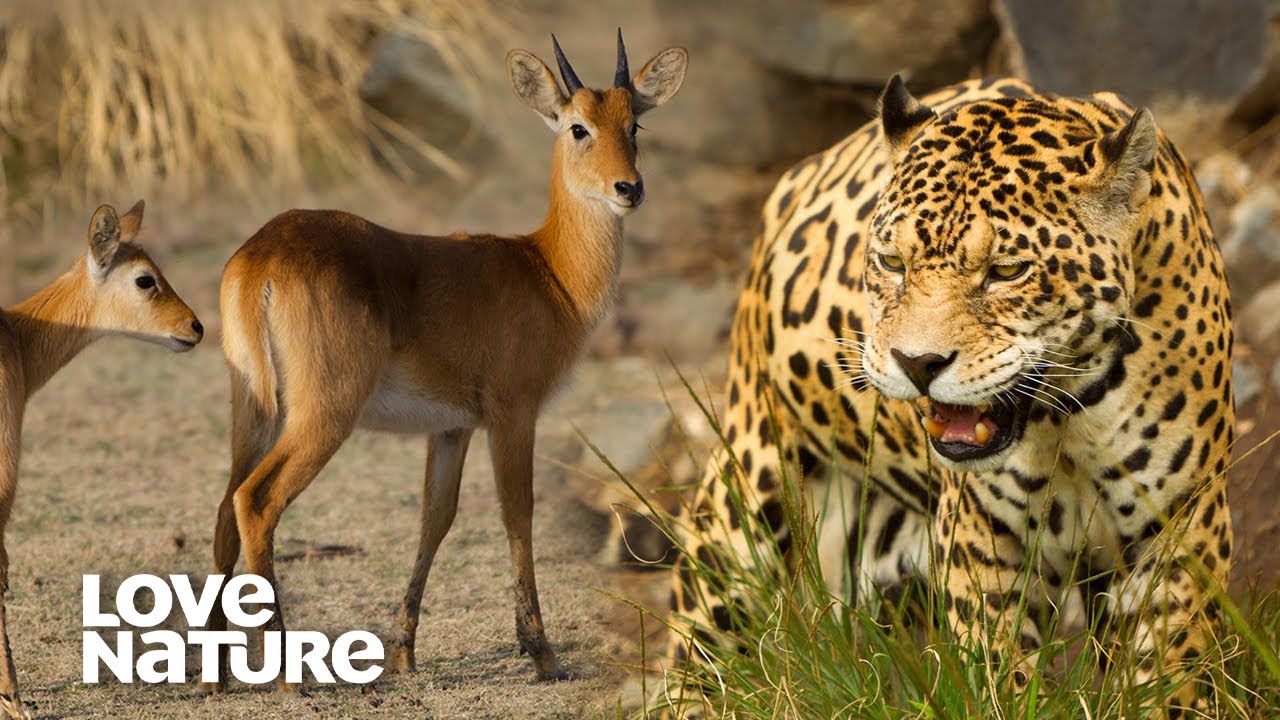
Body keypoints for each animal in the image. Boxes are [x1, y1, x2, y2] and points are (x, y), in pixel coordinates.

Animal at [204, 31, 686, 689]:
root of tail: (260, 255)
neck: (549, 272)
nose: (629, 189)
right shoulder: (514, 414)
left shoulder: (453, 427)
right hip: (323, 415)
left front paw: (404, 651)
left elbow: (437, 518)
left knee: (225, 507)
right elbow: (518, 512)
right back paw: (284, 671)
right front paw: (541, 652)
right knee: (256, 501)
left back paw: (214, 672)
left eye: (634, 123)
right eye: (578, 127)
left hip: (252, 410)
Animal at [658, 75, 1234, 719]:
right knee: (699, 641)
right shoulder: (980, 543)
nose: (918, 364)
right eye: (891, 262)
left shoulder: (1180, 531)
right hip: (743, 503)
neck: (1066, 415)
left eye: (1007, 271)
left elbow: (1171, 675)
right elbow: (1003, 674)